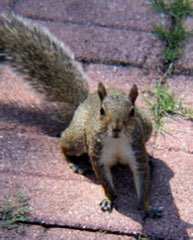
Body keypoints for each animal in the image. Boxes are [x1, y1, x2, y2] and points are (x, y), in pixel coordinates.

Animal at [0, 12, 162, 218]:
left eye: (132, 111)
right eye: (102, 111)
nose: (116, 129)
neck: (117, 141)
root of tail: (84, 101)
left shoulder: (136, 150)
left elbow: (143, 180)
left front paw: (147, 207)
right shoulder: (97, 154)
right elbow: (105, 181)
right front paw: (109, 198)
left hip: (147, 126)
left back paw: (151, 158)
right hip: (77, 138)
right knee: (63, 144)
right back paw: (75, 163)